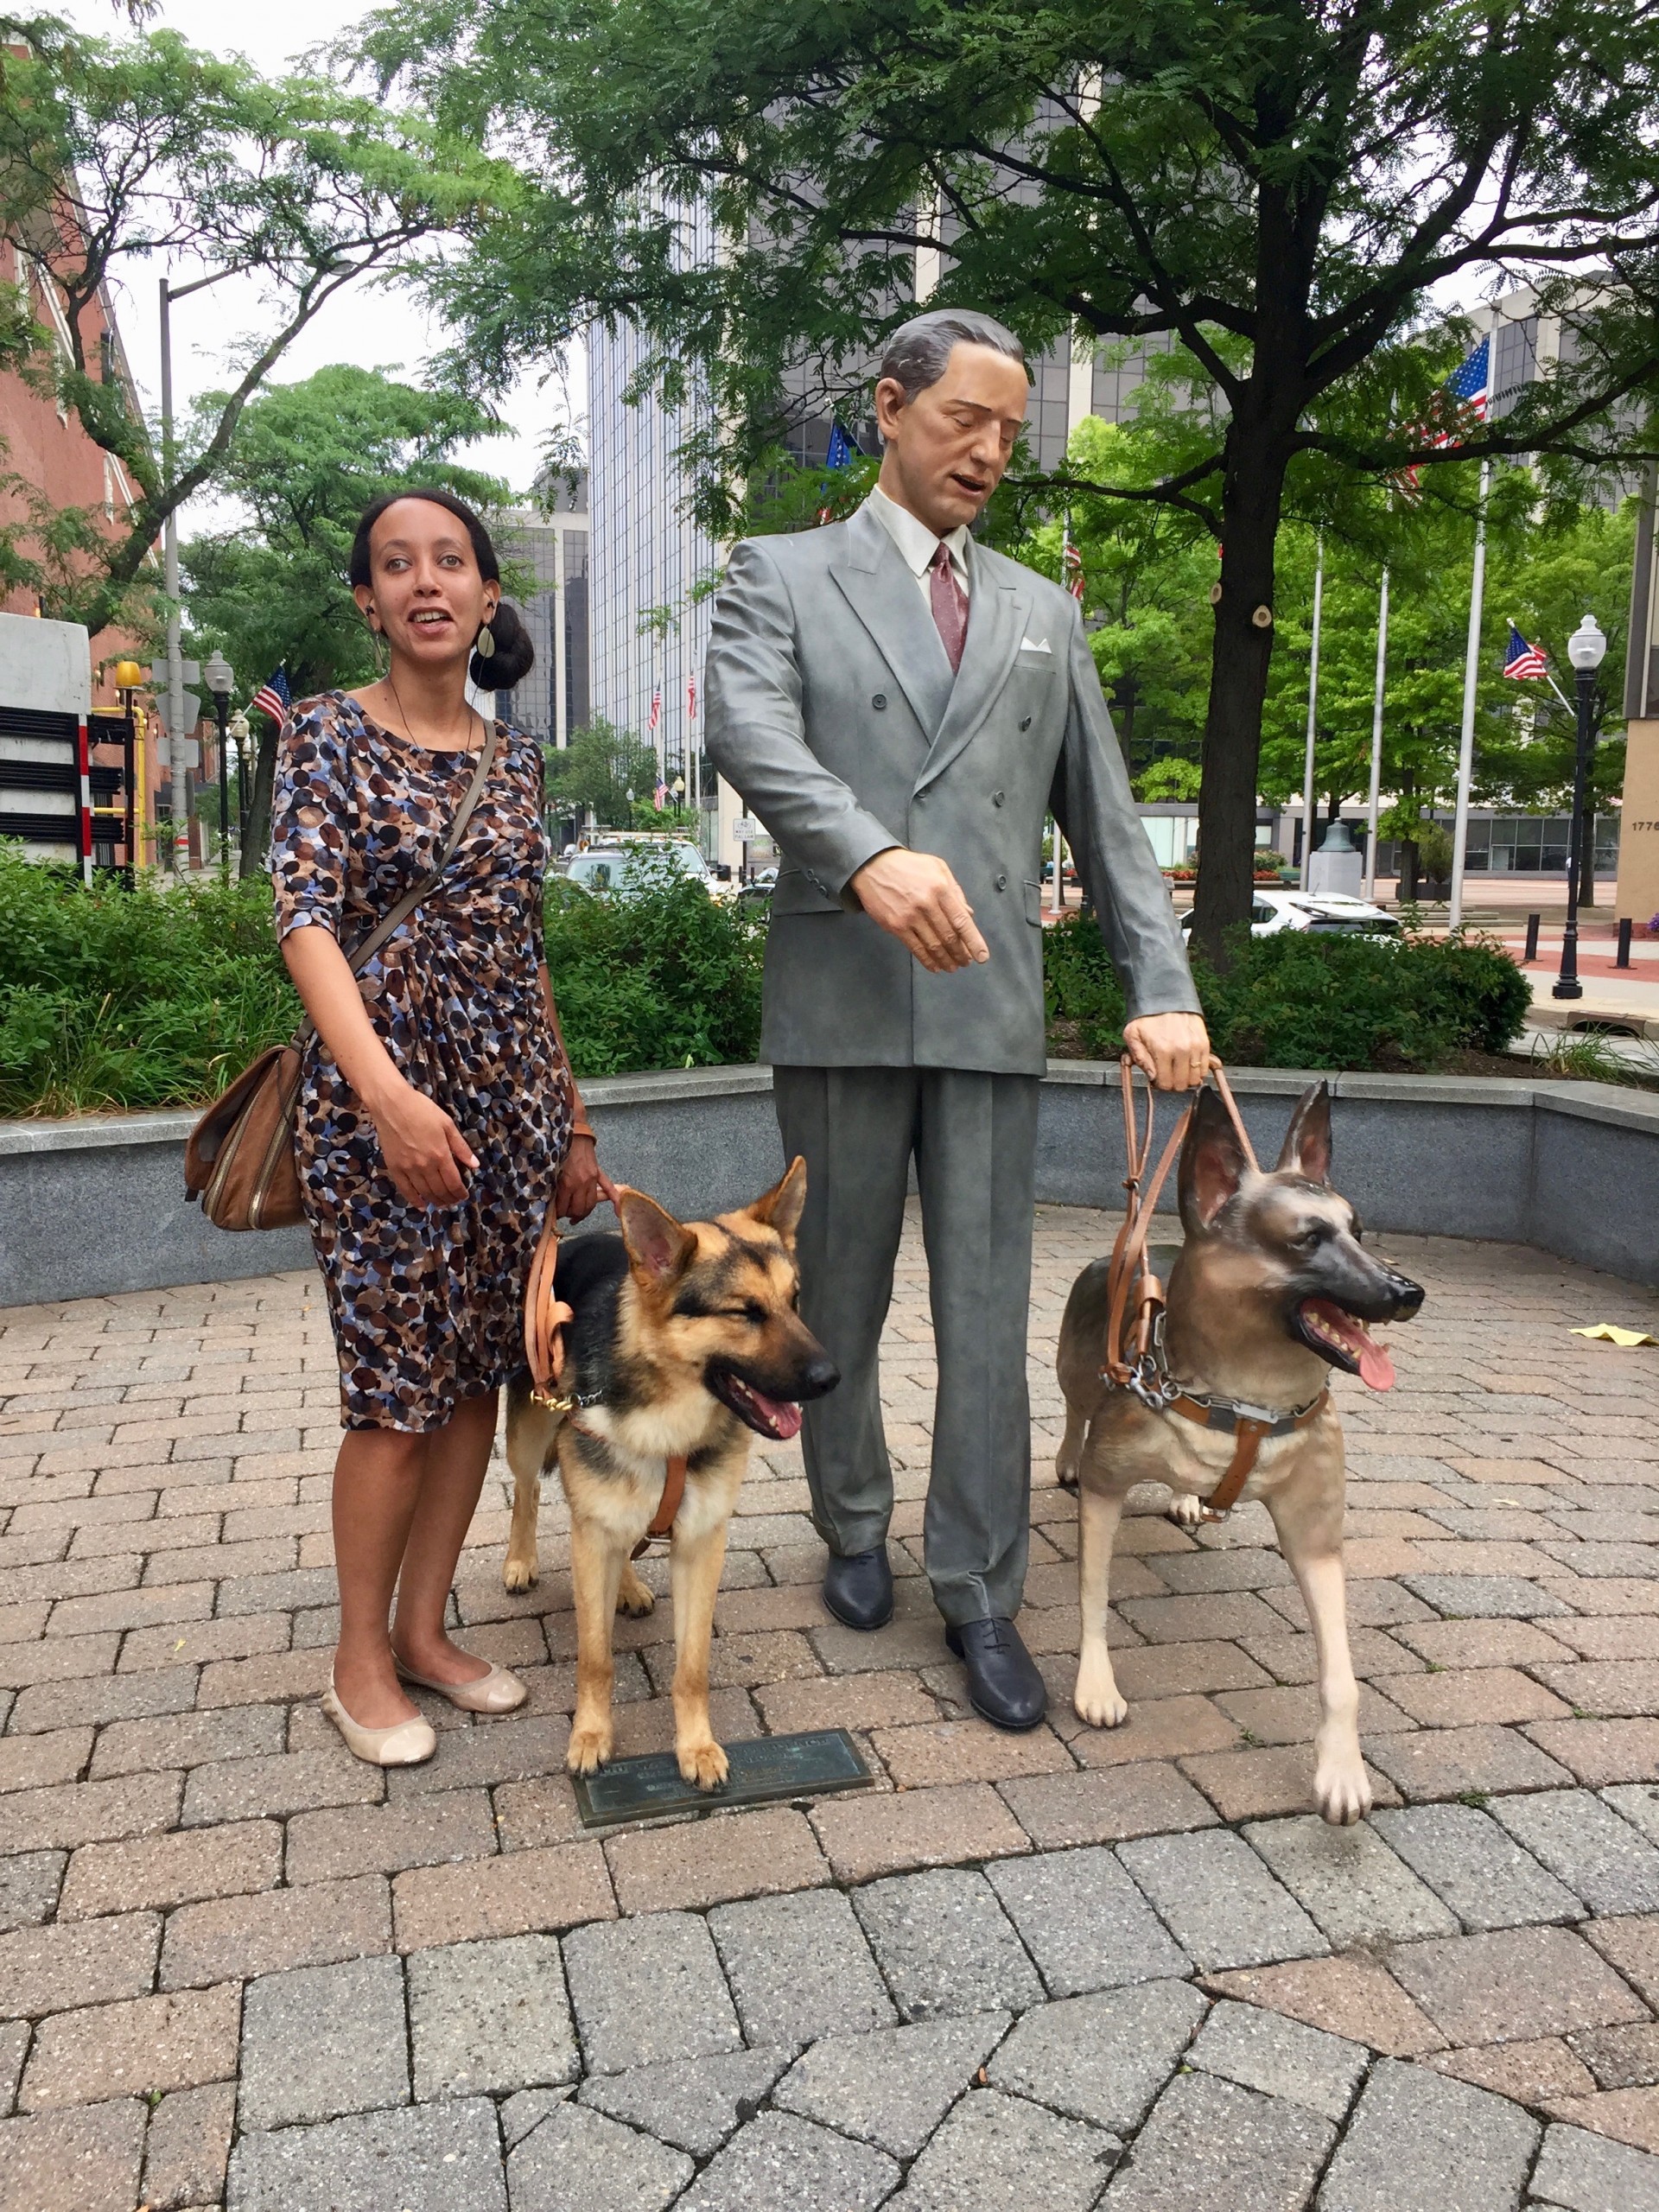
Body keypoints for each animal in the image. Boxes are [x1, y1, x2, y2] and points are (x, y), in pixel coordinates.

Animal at [499, 1167, 836, 1787]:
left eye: (795, 1301)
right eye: (745, 1312)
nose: (832, 1378)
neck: (670, 1427)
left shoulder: (702, 1545)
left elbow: (692, 1667)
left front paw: (696, 1746)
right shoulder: (593, 1534)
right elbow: (596, 1659)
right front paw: (591, 1736)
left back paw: (628, 1587)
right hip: (531, 1435)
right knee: (528, 1491)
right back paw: (521, 1561)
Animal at [1057, 1079, 1424, 1822]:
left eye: (1359, 1231)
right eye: (1309, 1239)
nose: (1407, 1293)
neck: (1246, 1405)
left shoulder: (1316, 1536)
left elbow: (1341, 1673)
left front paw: (1342, 1769)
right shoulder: (1107, 1488)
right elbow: (1093, 1597)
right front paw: (1096, 1683)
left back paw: (1186, 1497)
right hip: (1076, 1374)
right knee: (1073, 1413)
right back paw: (1065, 1459)